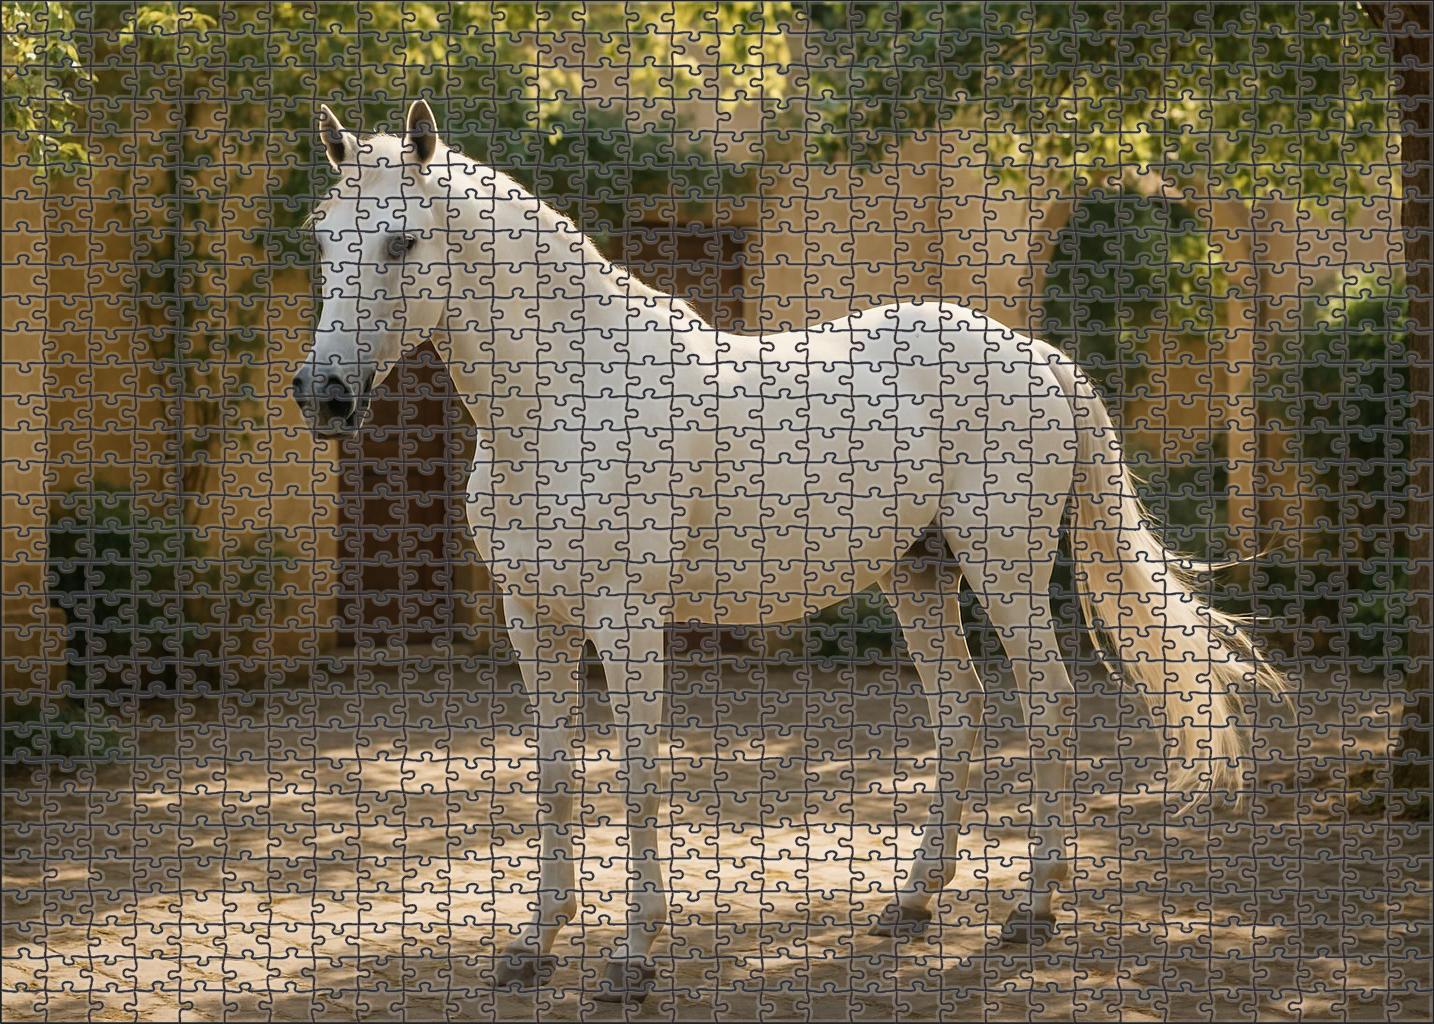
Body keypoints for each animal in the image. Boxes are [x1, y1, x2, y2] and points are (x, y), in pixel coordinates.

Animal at [292, 100, 1284, 1003]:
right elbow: (554, 777)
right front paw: (533, 946)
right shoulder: (533, 622)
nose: (324, 394)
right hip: (918, 579)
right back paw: (912, 902)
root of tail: (1035, 354)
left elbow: (638, 774)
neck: (567, 396)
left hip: (1004, 576)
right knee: (959, 710)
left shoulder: (626, 623)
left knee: (1048, 705)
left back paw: (1032, 910)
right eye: (325, 240)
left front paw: (632, 960)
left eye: (403, 243)